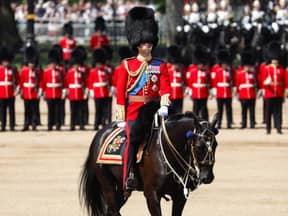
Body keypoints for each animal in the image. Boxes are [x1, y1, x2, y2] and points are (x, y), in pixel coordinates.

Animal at [79, 112, 218, 215]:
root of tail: (100, 134)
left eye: (215, 145)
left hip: (121, 189)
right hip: (108, 186)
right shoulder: (152, 195)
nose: (208, 177)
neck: (166, 152)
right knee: (114, 211)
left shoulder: (180, 196)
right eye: (199, 147)